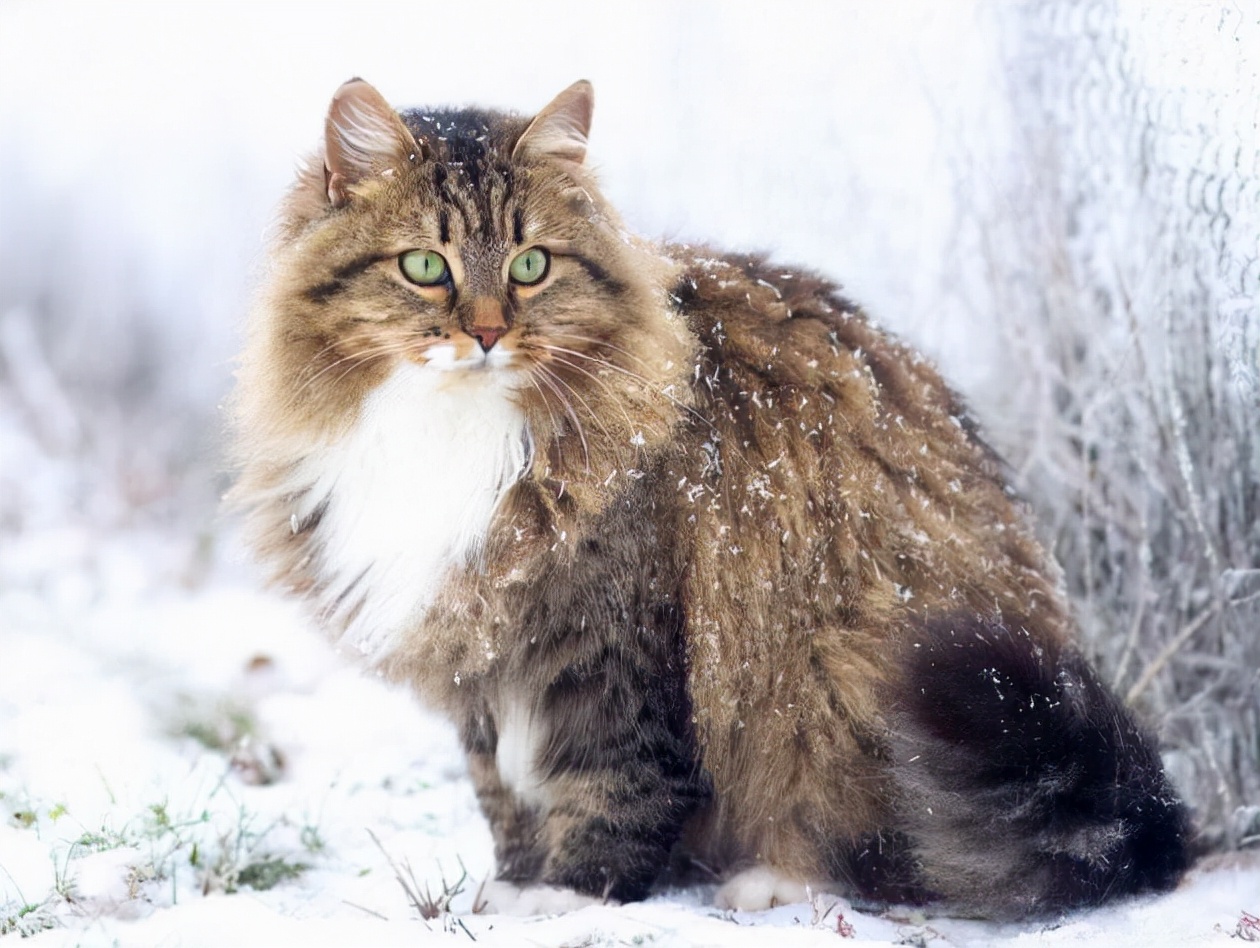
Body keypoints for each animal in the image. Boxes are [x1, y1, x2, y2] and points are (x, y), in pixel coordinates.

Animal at [229, 77, 1189, 922]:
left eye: (532, 265)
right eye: (426, 266)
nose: (490, 332)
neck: (452, 430)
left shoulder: (614, 639)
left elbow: (613, 784)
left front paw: (570, 898)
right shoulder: (482, 651)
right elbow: (503, 791)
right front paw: (513, 886)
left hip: (851, 663)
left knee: (891, 854)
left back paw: (769, 882)